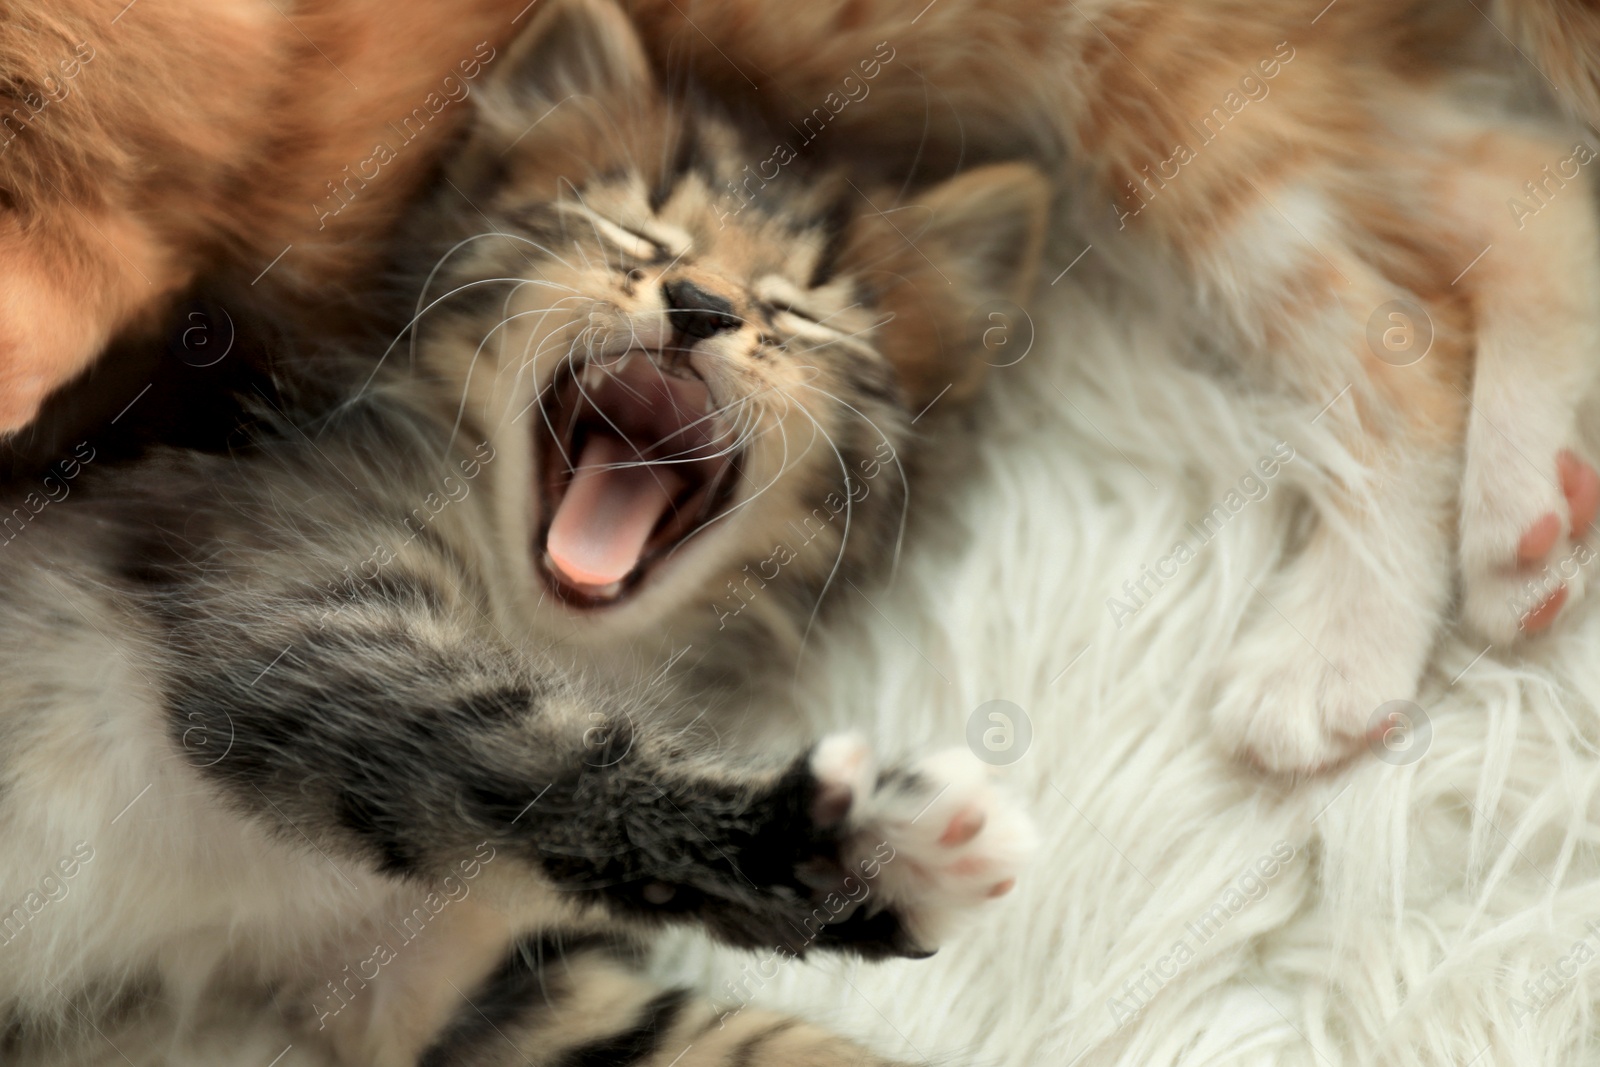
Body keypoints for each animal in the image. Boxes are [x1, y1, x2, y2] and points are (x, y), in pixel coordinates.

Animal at [0, 4, 1049, 1062]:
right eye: (635, 232)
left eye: (801, 311)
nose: (701, 305)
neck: (543, 632)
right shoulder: (290, 604)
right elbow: (540, 755)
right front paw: (839, 841)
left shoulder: (448, 979)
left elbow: (738, 1038)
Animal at [624, 0, 1600, 771]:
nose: (697, 310)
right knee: (1520, 180)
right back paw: (1527, 527)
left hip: (1153, 75)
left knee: (1405, 348)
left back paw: (1337, 648)